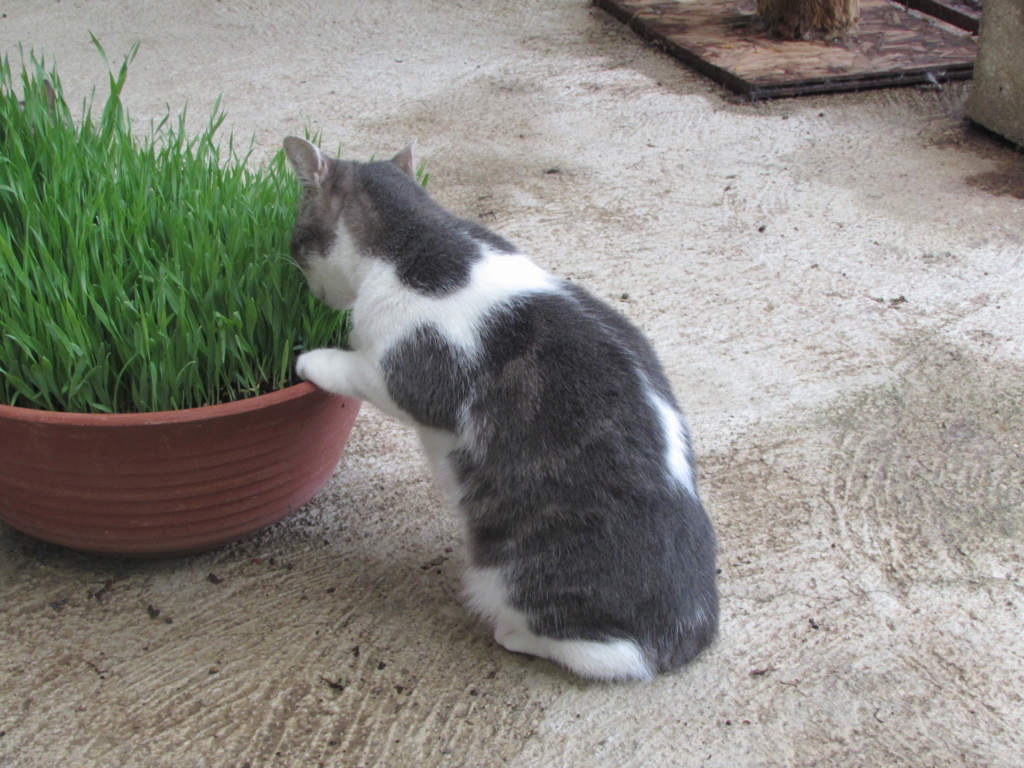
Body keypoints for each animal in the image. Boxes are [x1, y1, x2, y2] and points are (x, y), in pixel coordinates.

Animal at [280, 135, 712, 684]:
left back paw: (513, 634)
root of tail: (690, 626)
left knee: (605, 653)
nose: (304, 286)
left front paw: (311, 360)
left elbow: (356, 368)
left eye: (296, 241)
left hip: (517, 572)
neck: (422, 242)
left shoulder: (408, 376)